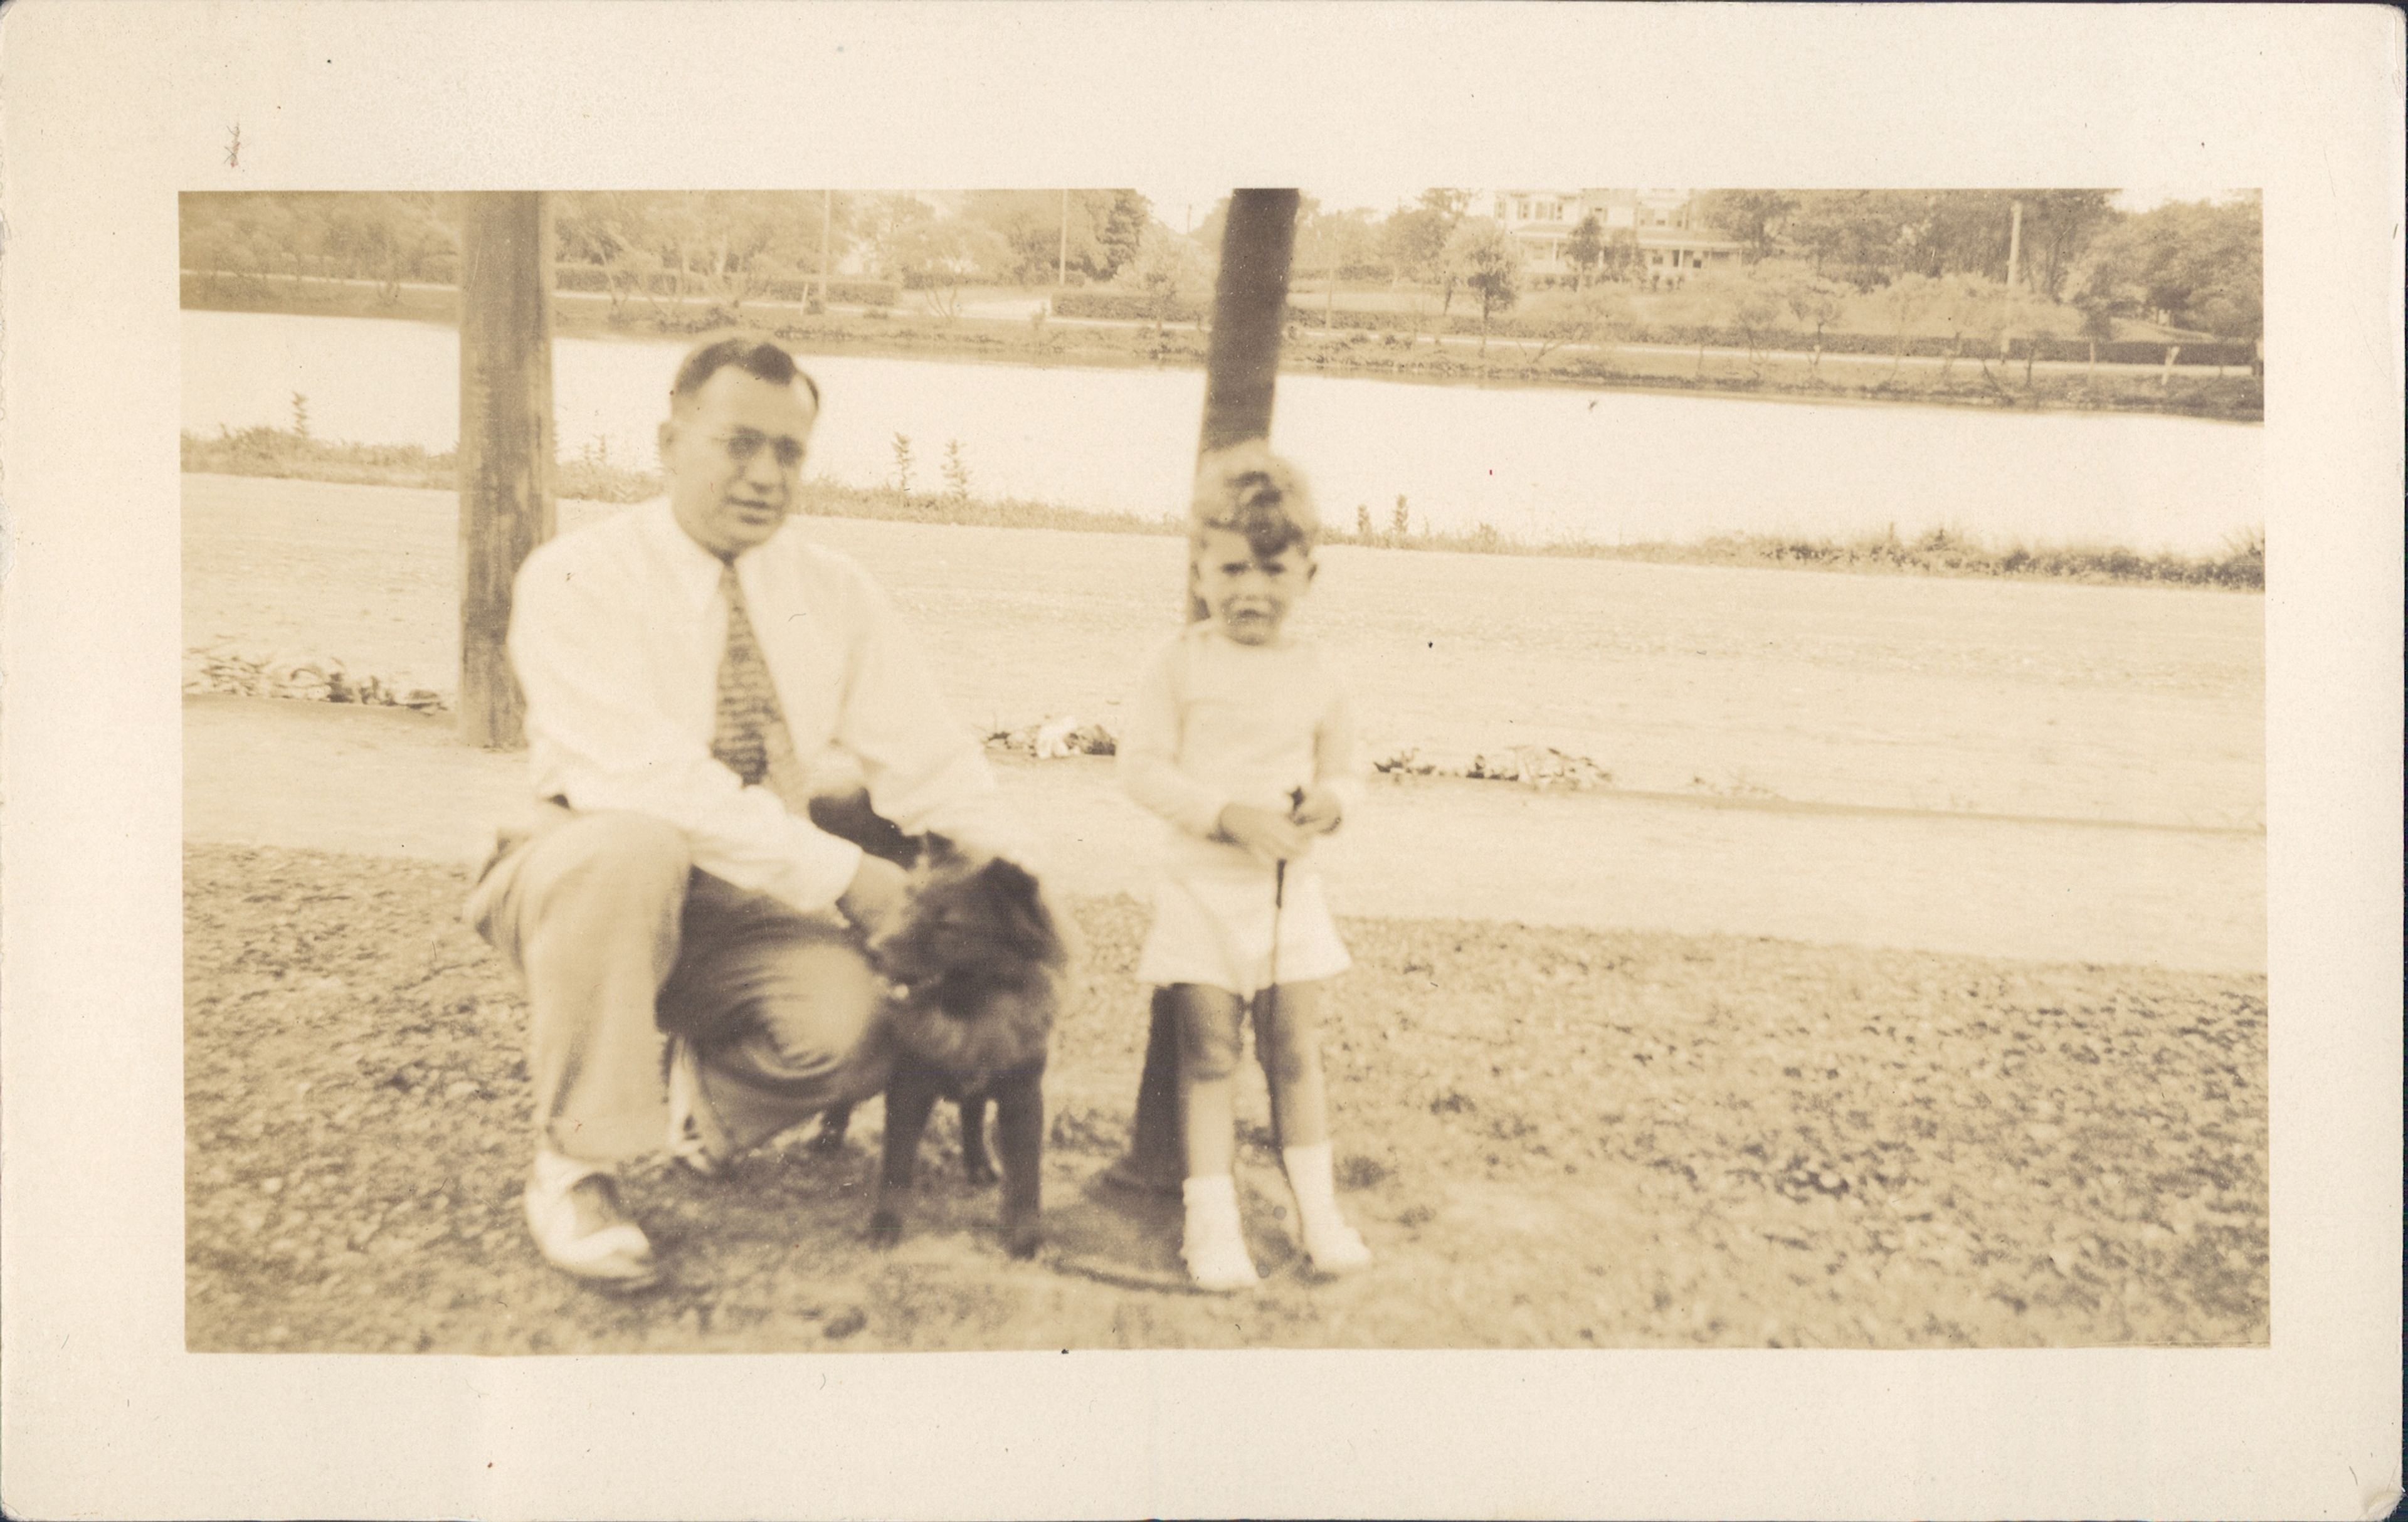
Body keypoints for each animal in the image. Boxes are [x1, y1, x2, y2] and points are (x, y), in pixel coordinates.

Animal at [804, 790, 1059, 1252]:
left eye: (948, 925)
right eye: (910, 903)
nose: (874, 951)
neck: (970, 1011)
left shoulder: (1022, 1094)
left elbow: (1026, 1175)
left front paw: (1024, 1236)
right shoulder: (910, 1085)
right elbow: (897, 1165)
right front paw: (885, 1225)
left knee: (973, 1117)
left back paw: (979, 1165)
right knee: (843, 1096)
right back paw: (828, 1134)